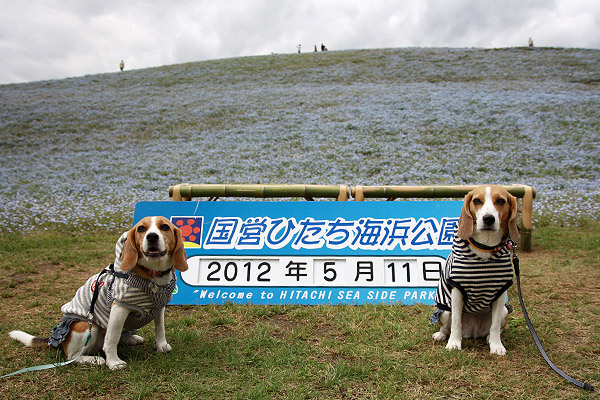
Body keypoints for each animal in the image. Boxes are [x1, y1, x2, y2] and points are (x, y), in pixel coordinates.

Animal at [8, 217, 188, 370]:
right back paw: (95, 359)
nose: (151, 237)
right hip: (88, 326)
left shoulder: (160, 307)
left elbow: (160, 328)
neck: (152, 276)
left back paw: (130, 338)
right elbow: (111, 339)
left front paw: (161, 345)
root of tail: (57, 341)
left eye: (164, 227)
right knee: (72, 356)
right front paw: (114, 362)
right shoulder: (119, 308)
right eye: (141, 229)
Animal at [432, 186, 520, 354]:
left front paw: (497, 346)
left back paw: (490, 339)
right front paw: (454, 343)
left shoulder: (500, 293)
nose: (488, 218)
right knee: (447, 326)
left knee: (496, 328)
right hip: (445, 310)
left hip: (505, 312)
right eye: (477, 200)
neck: (485, 246)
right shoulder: (457, 291)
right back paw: (441, 335)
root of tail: (473, 332)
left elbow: (494, 326)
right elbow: (456, 323)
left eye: (501, 201)